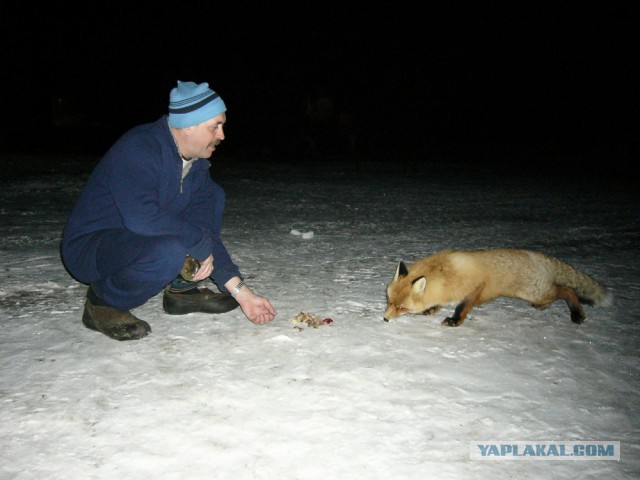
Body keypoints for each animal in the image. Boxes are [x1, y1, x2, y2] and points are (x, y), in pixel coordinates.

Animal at [382, 248, 612, 326]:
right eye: (388, 301)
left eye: (401, 308)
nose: (384, 319)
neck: (446, 274)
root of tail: (538, 255)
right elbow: (437, 303)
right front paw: (431, 309)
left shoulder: (476, 288)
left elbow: (462, 308)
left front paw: (455, 321)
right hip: (537, 294)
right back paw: (545, 308)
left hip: (534, 292)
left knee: (567, 290)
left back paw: (577, 314)